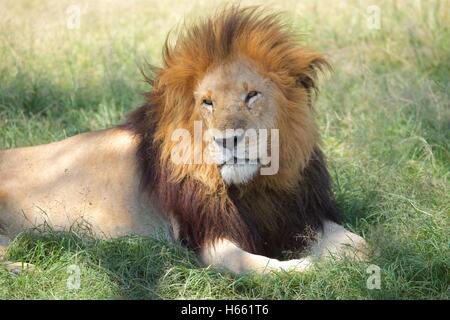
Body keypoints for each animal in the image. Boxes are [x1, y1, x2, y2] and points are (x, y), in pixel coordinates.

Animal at [0, 7, 370, 274]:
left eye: (251, 95)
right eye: (207, 102)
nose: (228, 140)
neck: (255, 187)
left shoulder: (302, 215)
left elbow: (361, 247)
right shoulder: (207, 239)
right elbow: (267, 267)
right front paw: (314, 265)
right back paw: (28, 268)